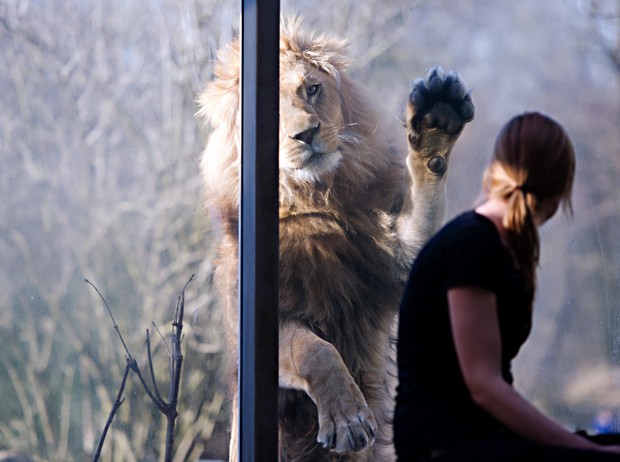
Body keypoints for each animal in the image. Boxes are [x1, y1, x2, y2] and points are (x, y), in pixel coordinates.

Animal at [199, 18, 474, 462]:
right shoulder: (257, 322)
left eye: (312, 89)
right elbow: (317, 350)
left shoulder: (394, 256)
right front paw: (348, 419)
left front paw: (436, 121)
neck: (317, 198)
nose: (307, 134)